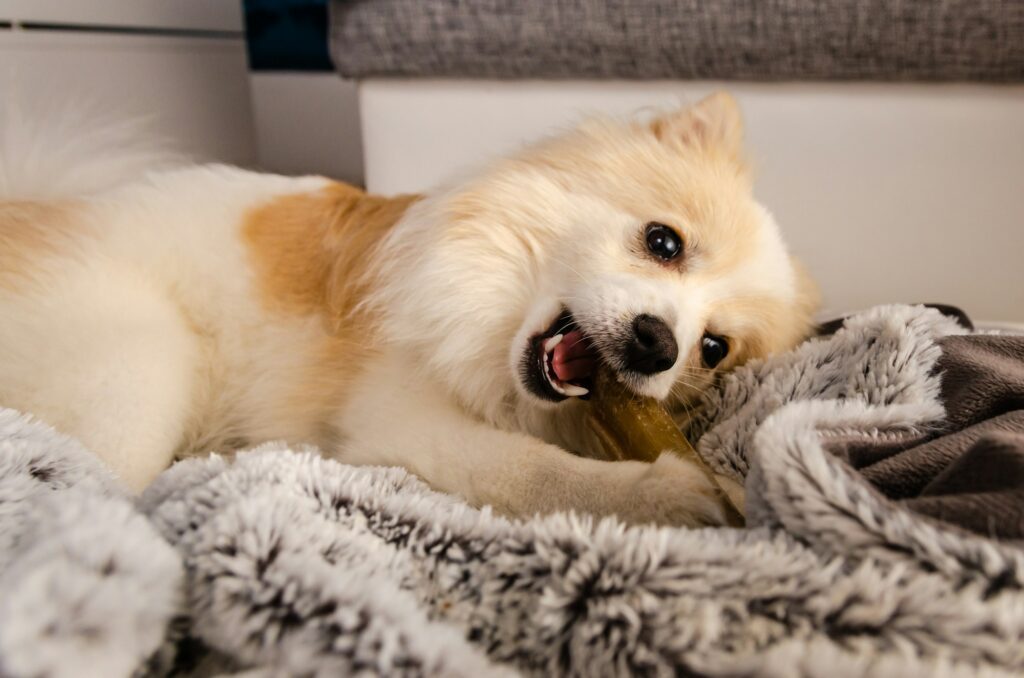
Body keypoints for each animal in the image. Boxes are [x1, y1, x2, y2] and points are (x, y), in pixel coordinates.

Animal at [0, 93, 815, 528]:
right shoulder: (395, 417)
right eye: (663, 241)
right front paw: (668, 494)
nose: (656, 345)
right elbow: (528, 470)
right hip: (140, 370)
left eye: (713, 349)